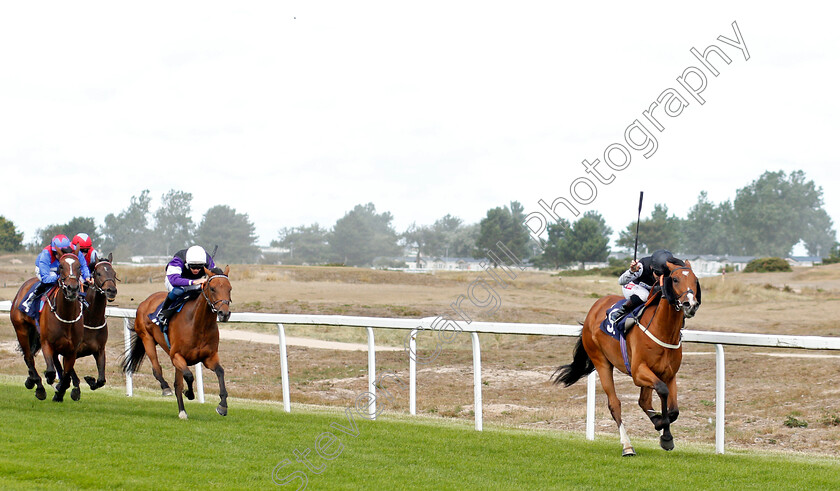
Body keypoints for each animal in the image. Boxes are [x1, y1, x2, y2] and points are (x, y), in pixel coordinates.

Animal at [9, 252, 86, 402]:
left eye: (79, 266)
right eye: (61, 266)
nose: (72, 288)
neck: (67, 317)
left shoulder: (72, 349)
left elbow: (66, 374)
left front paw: (61, 393)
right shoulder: (47, 342)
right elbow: (51, 372)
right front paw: (51, 384)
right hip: (21, 330)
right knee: (29, 357)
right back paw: (38, 386)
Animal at [122, 268, 233, 420]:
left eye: (230, 288)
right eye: (212, 288)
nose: (224, 313)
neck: (198, 324)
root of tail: (146, 301)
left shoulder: (209, 358)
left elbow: (220, 372)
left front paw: (222, 406)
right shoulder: (176, 356)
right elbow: (189, 376)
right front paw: (189, 393)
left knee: (177, 383)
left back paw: (182, 411)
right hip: (147, 338)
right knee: (157, 369)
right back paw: (166, 388)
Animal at [552, 260, 704, 456]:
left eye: (695, 280)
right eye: (675, 279)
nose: (690, 304)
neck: (662, 329)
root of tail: (594, 308)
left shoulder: (669, 374)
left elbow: (674, 410)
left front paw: (663, 431)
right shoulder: (639, 372)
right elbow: (663, 392)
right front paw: (663, 430)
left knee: (644, 401)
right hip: (601, 362)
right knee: (614, 404)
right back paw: (627, 446)